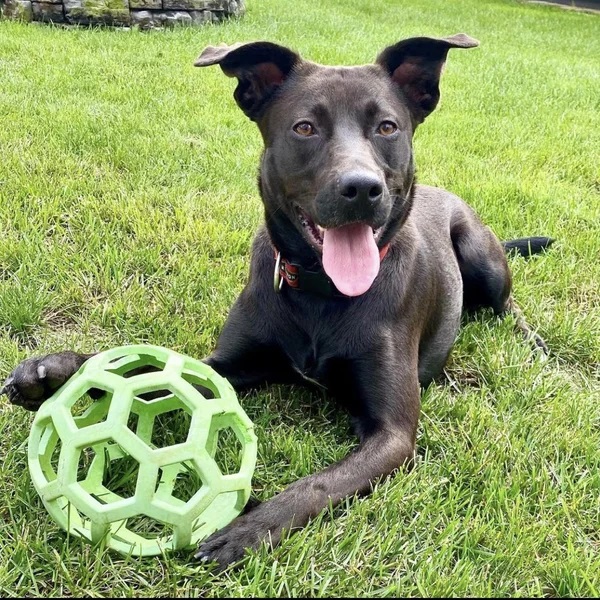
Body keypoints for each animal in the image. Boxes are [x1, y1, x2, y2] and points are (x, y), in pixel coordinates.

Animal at [1, 35, 552, 568]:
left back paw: (535, 345)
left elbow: (319, 484)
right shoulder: (228, 363)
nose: (362, 188)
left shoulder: (392, 434)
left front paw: (248, 527)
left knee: (508, 306)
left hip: (480, 253)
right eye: (305, 127)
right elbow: (152, 364)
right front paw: (58, 369)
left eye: (388, 127)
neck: (321, 291)